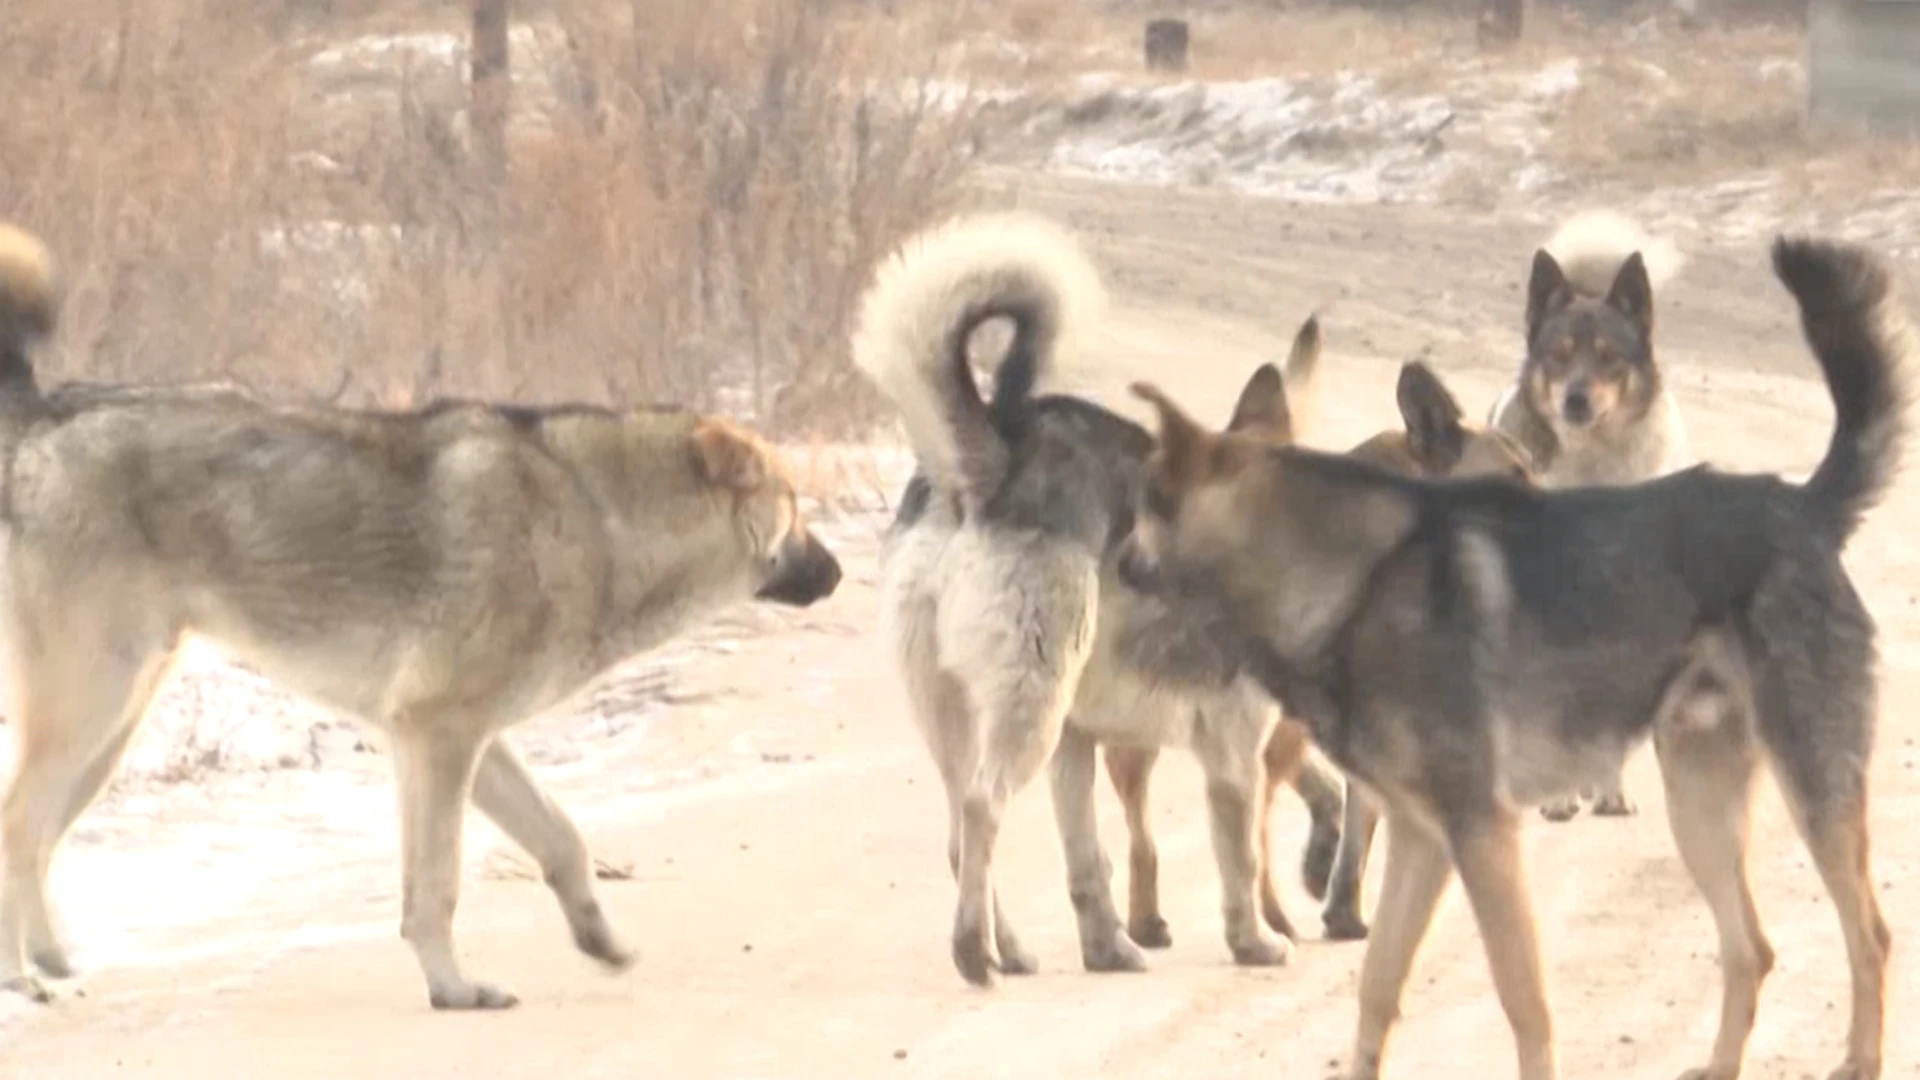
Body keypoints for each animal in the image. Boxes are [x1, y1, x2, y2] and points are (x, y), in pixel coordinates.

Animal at [0, 220, 840, 1006]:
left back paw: (57, 965)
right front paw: (456, 992)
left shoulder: (472, 741)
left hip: (111, 729)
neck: (599, 520)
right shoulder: (438, 737)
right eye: (795, 506)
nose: (836, 573)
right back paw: (26, 982)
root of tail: (41, 416)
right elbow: (436, 890)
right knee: (16, 830)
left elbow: (563, 842)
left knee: (36, 844)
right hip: (92, 709)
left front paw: (602, 944)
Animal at [1121, 233, 1904, 1076]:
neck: (1350, 574)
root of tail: (1802, 508)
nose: (1116, 563)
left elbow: (1523, 1001)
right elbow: (1376, 988)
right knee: (1751, 948)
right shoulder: (1423, 841)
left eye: (1142, 509)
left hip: (1813, 787)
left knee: (1869, 935)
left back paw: (1859, 1058)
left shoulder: (1482, 834)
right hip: (1699, 803)